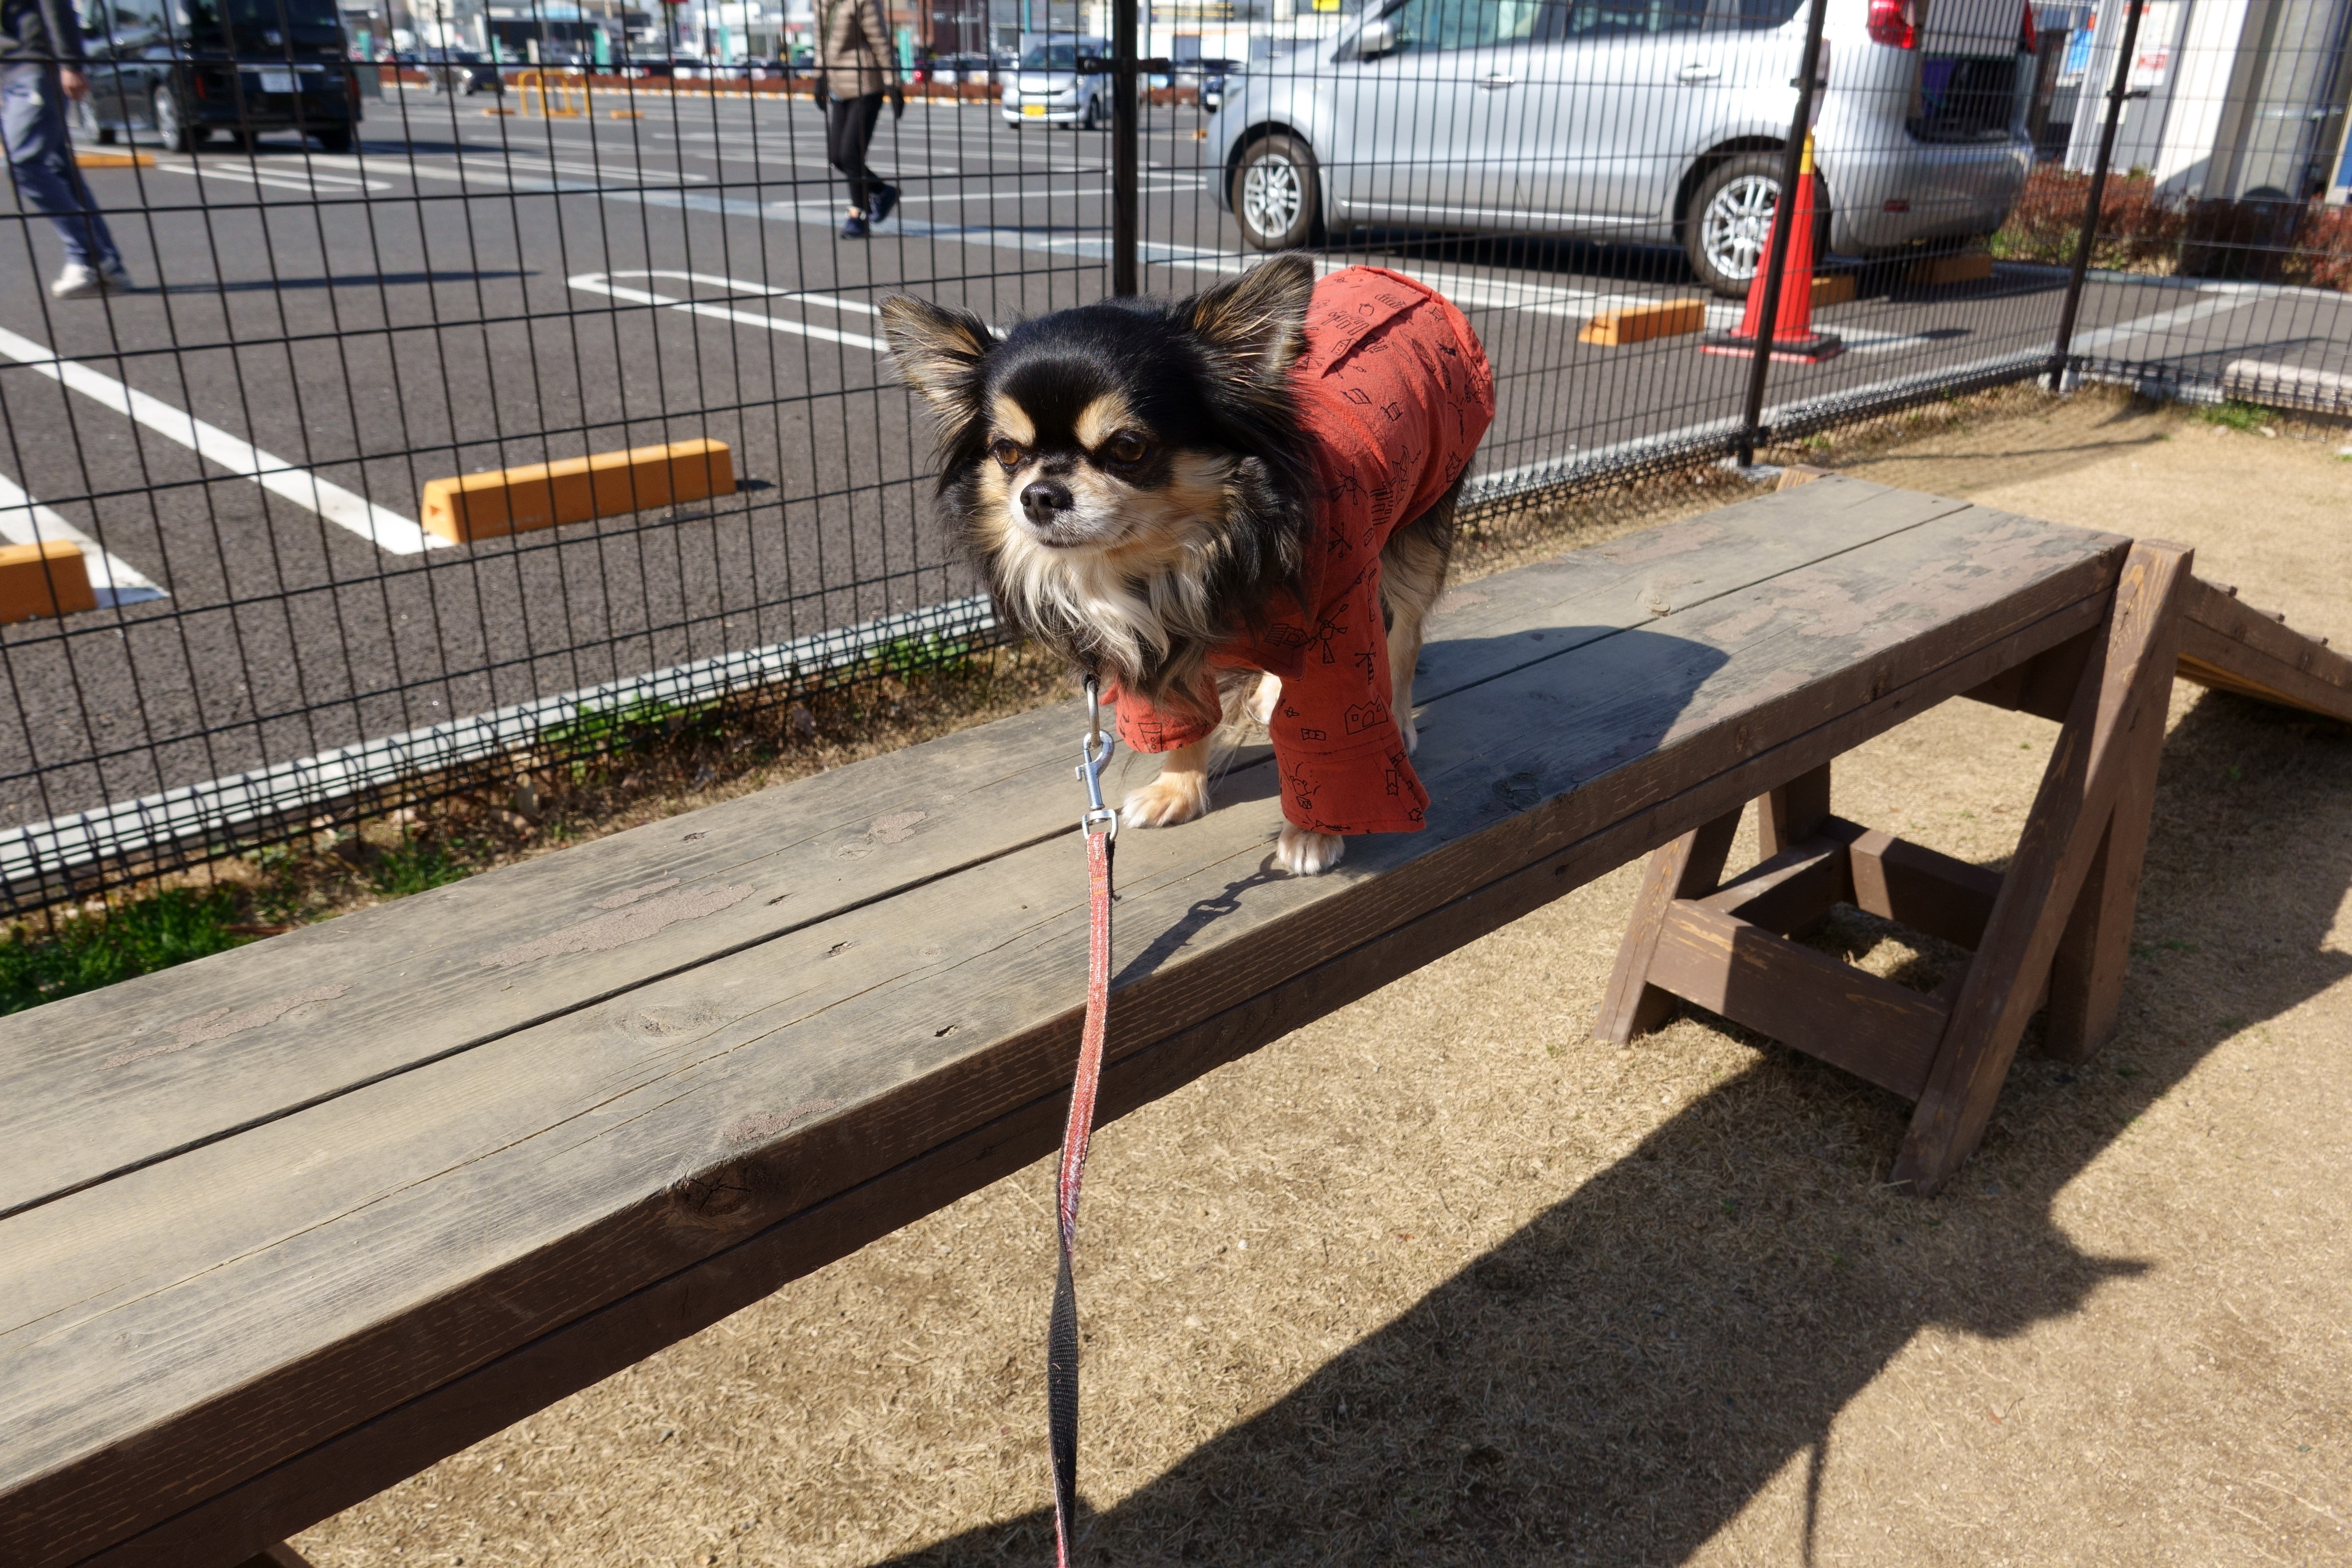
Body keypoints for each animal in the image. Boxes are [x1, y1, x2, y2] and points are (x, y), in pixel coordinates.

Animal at [884, 251, 1486, 879]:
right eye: (1006, 452)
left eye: (1128, 448)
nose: (1040, 495)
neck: (1182, 559)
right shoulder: (1160, 646)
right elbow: (1179, 715)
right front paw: (1176, 789)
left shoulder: (1339, 630)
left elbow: (1333, 738)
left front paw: (1316, 832)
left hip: (1417, 533)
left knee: (1407, 634)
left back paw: (1398, 716)